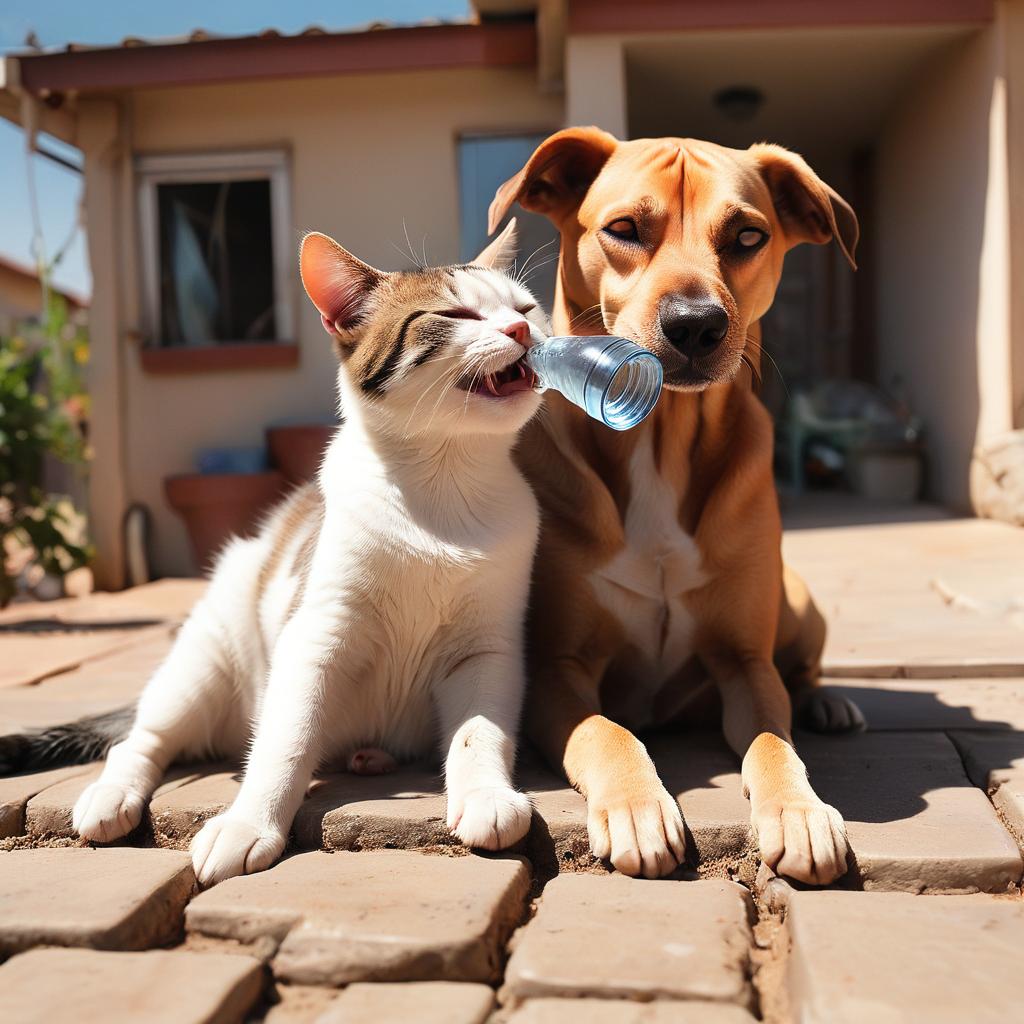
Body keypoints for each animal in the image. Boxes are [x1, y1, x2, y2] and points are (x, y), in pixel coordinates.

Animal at [489, 125, 864, 880]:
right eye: (624, 229)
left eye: (748, 235)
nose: (695, 325)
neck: (658, 438)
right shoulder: (557, 670)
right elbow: (604, 731)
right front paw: (637, 806)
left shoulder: (745, 665)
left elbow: (774, 741)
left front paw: (800, 811)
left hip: (798, 600)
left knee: (802, 674)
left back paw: (829, 703)